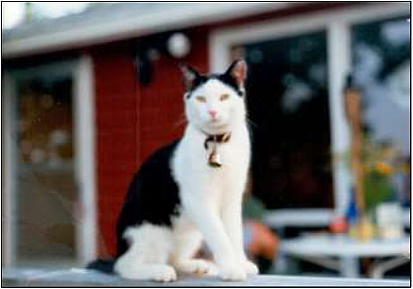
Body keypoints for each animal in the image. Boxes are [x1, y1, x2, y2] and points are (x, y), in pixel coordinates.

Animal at [87, 59, 258, 282]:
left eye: (224, 97)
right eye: (201, 99)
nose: (212, 112)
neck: (218, 143)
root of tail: (118, 251)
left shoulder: (232, 199)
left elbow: (234, 235)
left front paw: (241, 263)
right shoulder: (198, 200)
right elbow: (220, 236)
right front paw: (231, 268)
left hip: (189, 234)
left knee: (174, 258)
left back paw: (194, 266)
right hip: (149, 229)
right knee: (126, 266)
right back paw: (159, 271)